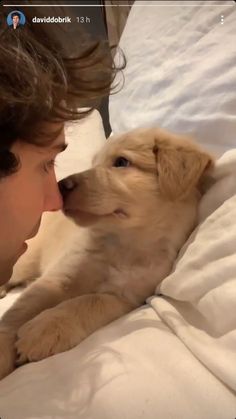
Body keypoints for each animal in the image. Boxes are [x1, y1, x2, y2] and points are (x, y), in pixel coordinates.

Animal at [0, 128, 214, 380]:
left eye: (121, 162)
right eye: (93, 163)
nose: (61, 186)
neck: (124, 243)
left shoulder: (125, 297)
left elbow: (88, 302)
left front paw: (44, 329)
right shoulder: (60, 276)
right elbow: (23, 307)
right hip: (20, 261)